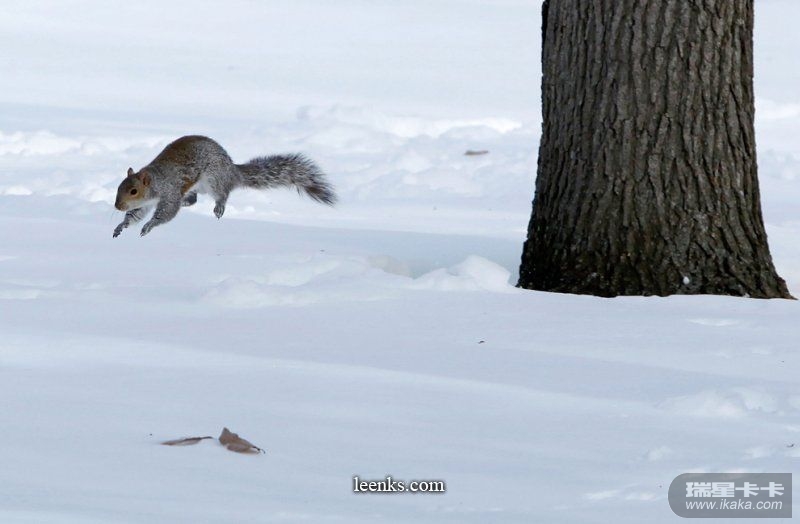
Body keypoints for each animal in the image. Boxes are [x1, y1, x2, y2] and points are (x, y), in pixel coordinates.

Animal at [113, 135, 335, 237]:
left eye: (133, 191)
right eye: (118, 188)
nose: (117, 206)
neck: (156, 181)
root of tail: (232, 170)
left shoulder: (170, 192)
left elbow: (166, 213)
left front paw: (149, 225)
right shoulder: (144, 204)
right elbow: (135, 214)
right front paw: (121, 225)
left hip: (213, 180)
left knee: (222, 194)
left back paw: (219, 206)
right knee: (193, 199)